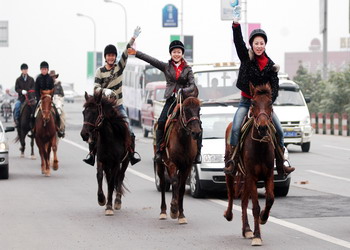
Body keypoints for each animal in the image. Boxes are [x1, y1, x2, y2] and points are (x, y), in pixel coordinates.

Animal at [157, 96, 201, 225]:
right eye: (186, 110)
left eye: (199, 109)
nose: (196, 132)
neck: (183, 139)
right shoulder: (172, 164)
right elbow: (175, 182)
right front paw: (173, 208)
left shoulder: (187, 166)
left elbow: (181, 187)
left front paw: (181, 214)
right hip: (160, 165)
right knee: (163, 184)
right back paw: (163, 211)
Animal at [224, 82, 276, 246]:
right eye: (253, 103)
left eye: (270, 103)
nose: (263, 127)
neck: (259, 146)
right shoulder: (252, 176)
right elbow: (256, 207)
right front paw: (257, 236)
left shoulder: (268, 175)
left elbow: (270, 199)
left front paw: (264, 217)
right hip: (231, 169)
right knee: (231, 193)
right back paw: (228, 214)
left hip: (246, 177)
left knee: (244, 201)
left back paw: (246, 229)